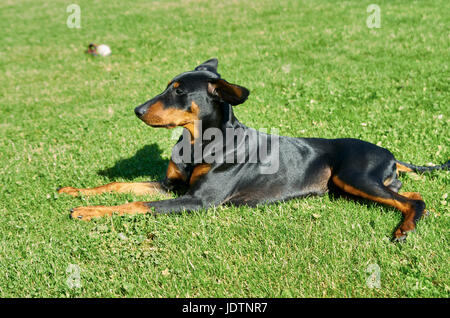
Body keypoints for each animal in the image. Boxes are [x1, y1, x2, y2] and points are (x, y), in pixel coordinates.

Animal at [58, 58, 448, 240]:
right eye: (169, 86)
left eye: (179, 91)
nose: (137, 110)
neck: (199, 142)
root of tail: (391, 155)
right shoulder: (172, 186)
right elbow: (120, 185)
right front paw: (75, 191)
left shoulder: (199, 201)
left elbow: (137, 204)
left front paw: (88, 212)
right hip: (353, 185)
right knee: (408, 193)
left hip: (354, 176)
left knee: (414, 201)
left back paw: (404, 230)